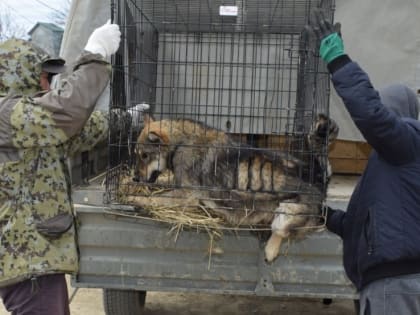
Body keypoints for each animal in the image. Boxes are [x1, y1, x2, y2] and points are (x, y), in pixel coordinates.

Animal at [130, 112, 340, 262]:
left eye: (144, 156)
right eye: (137, 155)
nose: (135, 178)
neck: (181, 143)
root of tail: (316, 176)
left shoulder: (187, 195)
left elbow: (153, 198)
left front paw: (132, 197)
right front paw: (127, 187)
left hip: (286, 211)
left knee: (280, 231)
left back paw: (270, 250)